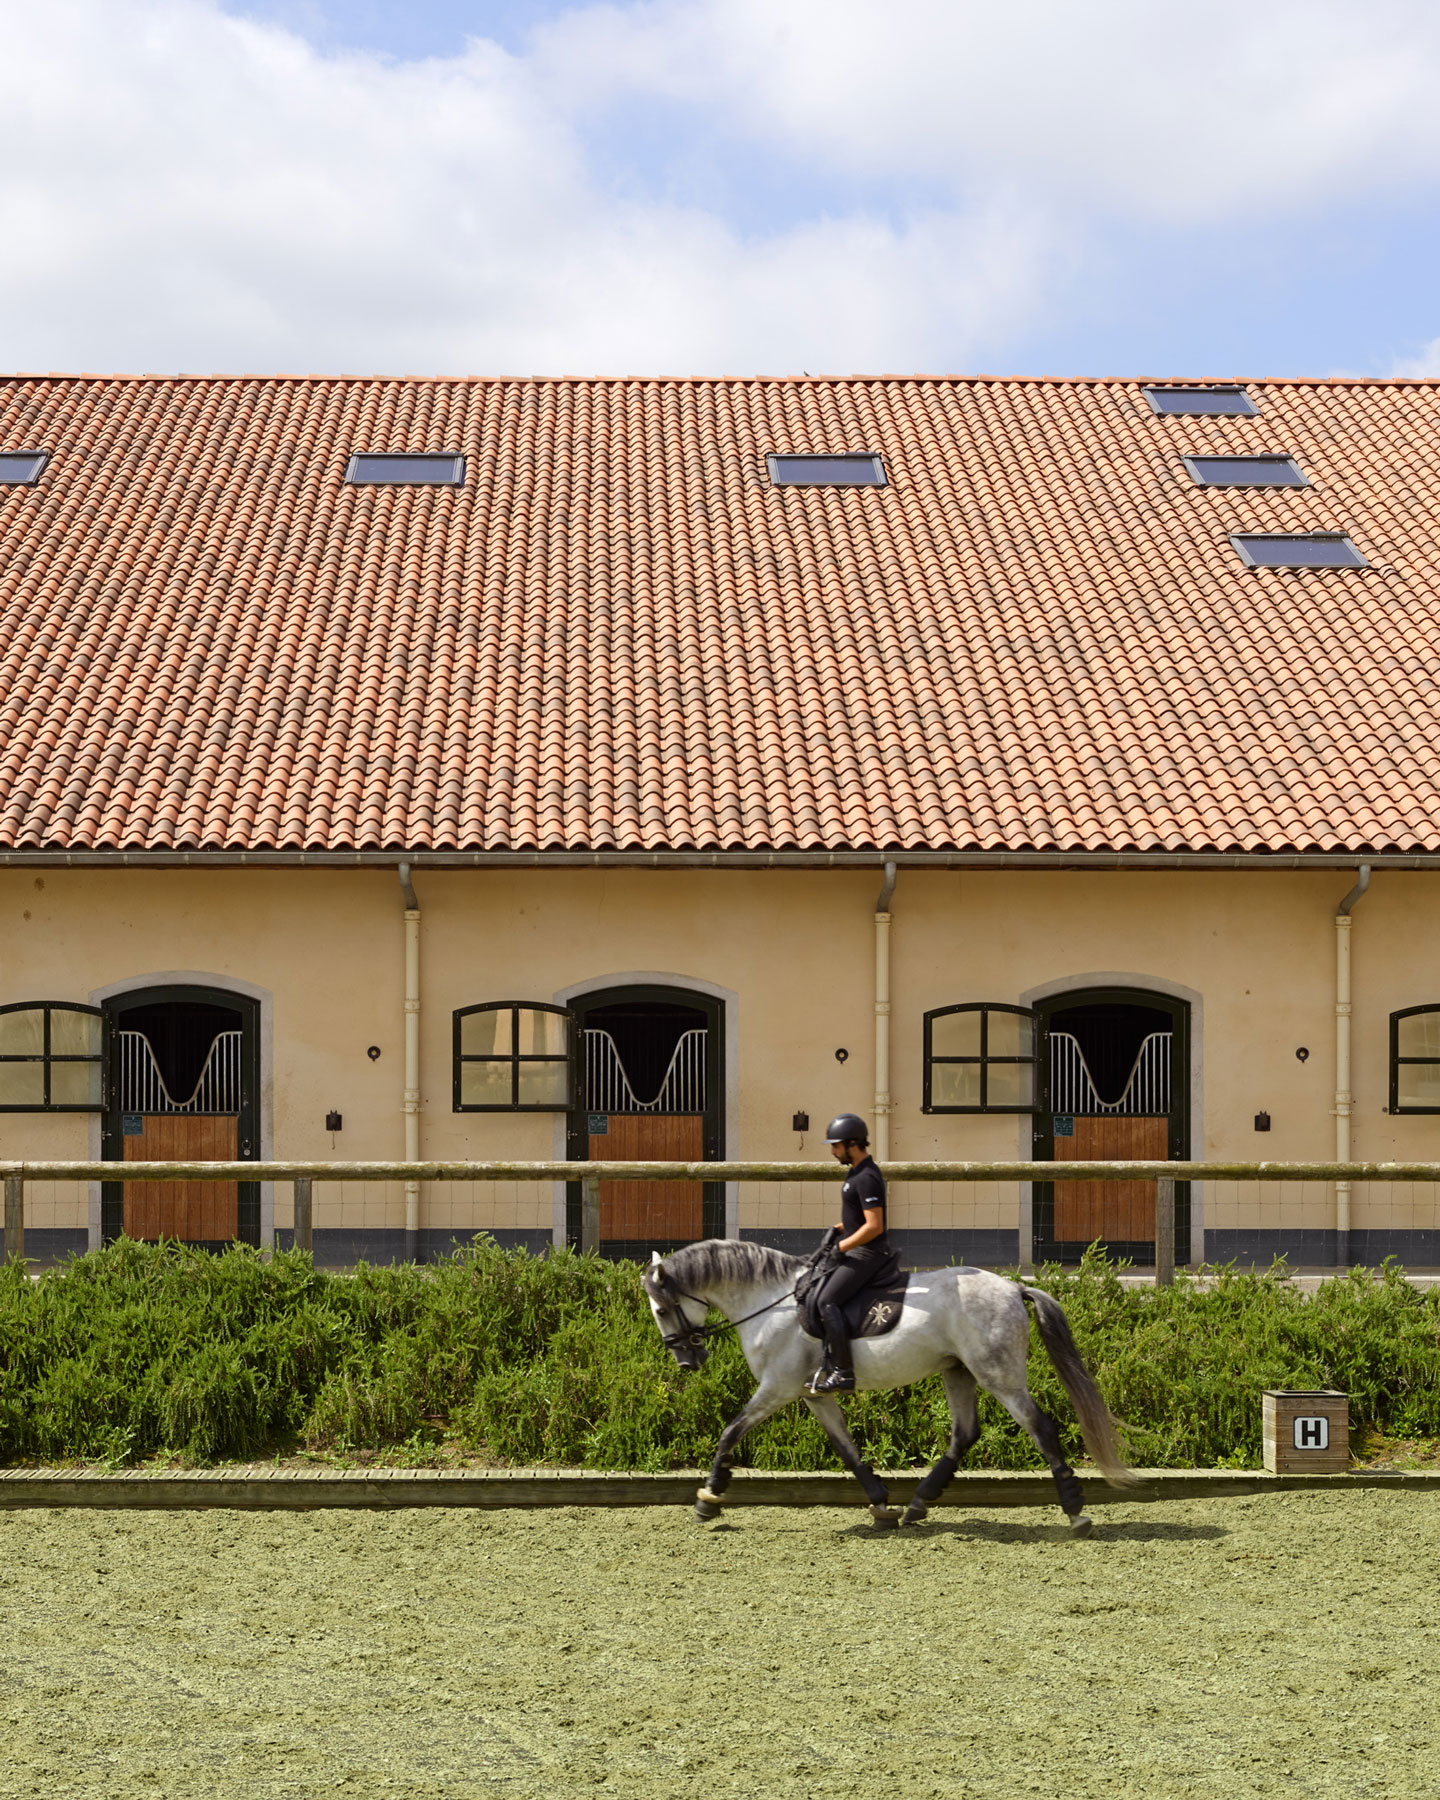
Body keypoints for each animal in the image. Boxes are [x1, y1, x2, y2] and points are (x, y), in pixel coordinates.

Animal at [644, 1245, 1137, 1540]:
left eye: (662, 1310)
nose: (687, 1362)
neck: (771, 1303)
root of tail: (1013, 1287)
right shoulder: (814, 1394)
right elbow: (846, 1449)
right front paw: (880, 1503)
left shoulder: (777, 1388)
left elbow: (730, 1431)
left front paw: (709, 1498)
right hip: (958, 1372)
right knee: (965, 1434)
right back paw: (916, 1505)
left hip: (998, 1375)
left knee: (1041, 1428)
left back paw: (1076, 1512)